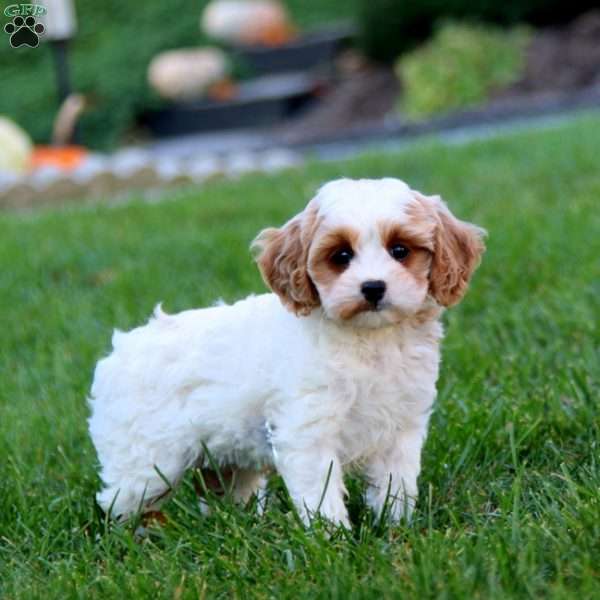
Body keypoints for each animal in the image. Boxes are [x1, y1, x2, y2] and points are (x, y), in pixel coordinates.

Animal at [86, 177, 486, 524]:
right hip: (147, 465)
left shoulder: (401, 426)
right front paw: (333, 539)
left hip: (225, 456)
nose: (373, 287)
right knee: (118, 503)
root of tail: (120, 349)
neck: (370, 339)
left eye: (400, 251)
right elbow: (320, 494)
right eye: (341, 256)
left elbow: (396, 483)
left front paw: (397, 525)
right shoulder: (308, 431)